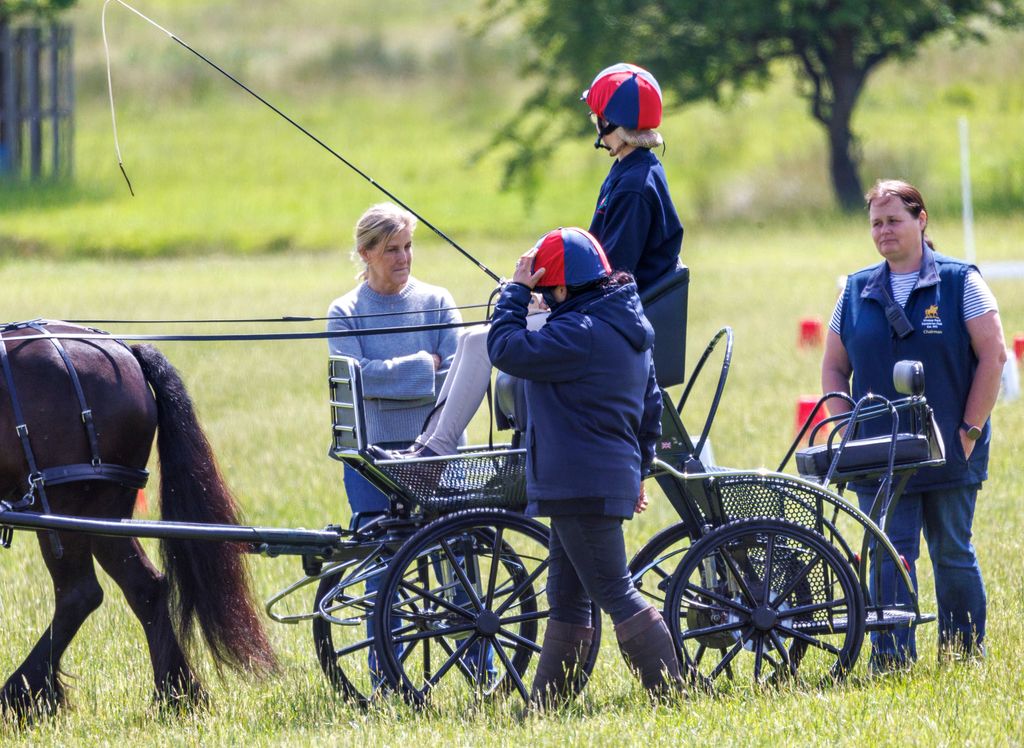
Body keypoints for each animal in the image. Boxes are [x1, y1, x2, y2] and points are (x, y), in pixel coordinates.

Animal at [0, 319, 274, 709]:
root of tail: (125, 352)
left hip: (66, 505)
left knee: (79, 594)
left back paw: (21, 691)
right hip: (101, 514)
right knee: (144, 586)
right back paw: (177, 694)